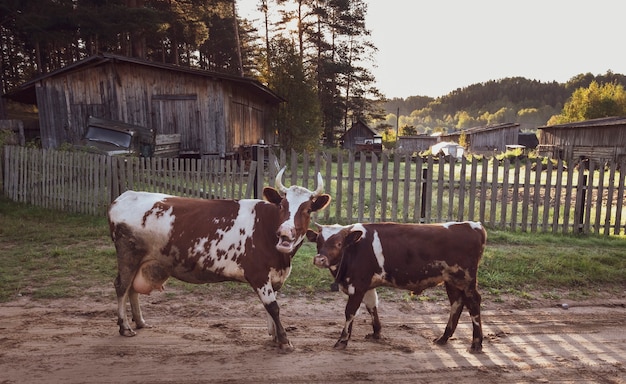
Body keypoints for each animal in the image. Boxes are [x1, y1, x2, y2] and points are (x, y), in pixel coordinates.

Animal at [109, 166, 330, 350]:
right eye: (282, 206)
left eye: (307, 209)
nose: (284, 232)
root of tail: (125, 196)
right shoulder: (258, 274)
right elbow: (273, 307)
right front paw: (284, 340)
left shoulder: (274, 276)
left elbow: (271, 308)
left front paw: (275, 337)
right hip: (128, 255)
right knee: (122, 286)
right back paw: (125, 327)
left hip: (139, 261)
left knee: (132, 289)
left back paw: (139, 321)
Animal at [304, 220, 486, 352]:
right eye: (318, 241)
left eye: (339, 243)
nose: (319, 259)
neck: (354, 249)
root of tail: (474, 226)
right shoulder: (367, 285)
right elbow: (372, 306)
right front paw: (376, 333)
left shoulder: (357, 286)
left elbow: (350, 312)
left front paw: (342, 340)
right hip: (452, 280)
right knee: (457, 303)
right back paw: (444, 337)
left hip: (466, 279)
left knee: (473, 302)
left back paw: (476, 343)